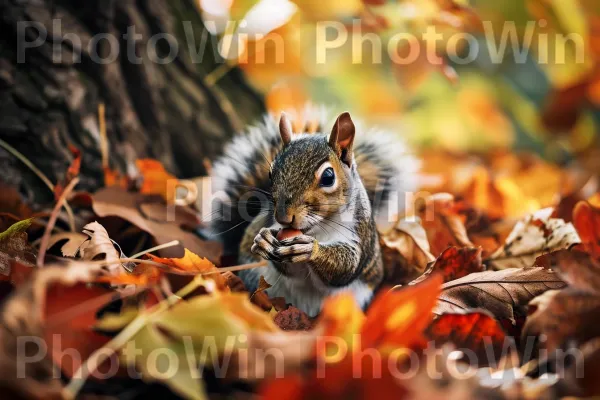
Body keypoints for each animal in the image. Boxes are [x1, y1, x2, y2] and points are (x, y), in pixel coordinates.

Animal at [209, 108, 420, 316]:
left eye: (328, 177)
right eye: (270, 173)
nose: (284, 217)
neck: (316, 228)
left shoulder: (359, 234)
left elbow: (346, 267)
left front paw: (310, 248)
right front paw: (264, 240)